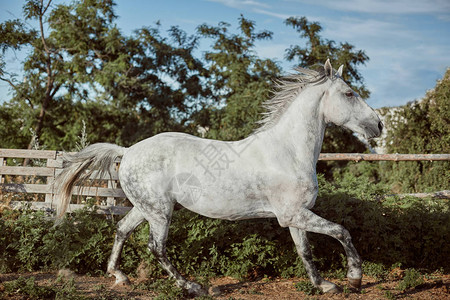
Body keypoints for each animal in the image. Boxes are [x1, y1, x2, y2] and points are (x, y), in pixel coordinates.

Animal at [54, 59, 382, 296]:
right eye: (349, 93)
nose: (378, 125)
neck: (288, 151)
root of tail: (128, 151)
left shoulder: (294, 215)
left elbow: (305, 251)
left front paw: (323, 285)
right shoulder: (294, 214)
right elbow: (341, 231)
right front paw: (354, 279)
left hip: (145, 207)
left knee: (121, 229)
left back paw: (119, 276)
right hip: (160, 212)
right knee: (156, 247)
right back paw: (193, 287)